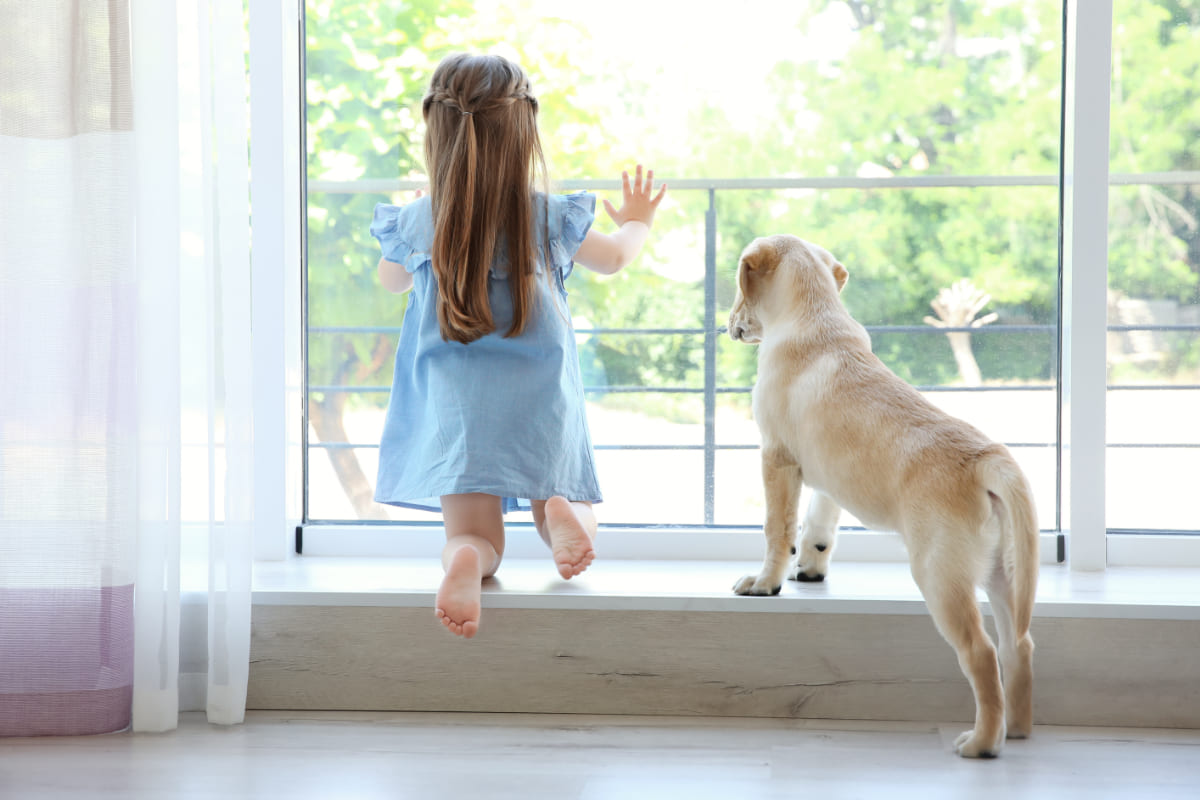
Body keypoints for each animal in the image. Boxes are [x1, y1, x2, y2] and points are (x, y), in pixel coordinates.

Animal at [724, 235, 1036, 762]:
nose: (728, 325)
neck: (817, 317)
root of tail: (987, 459)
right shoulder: (826, 477)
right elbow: (818, 525)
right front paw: (810, 569)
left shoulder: (776, 457)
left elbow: (777, 528)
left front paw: (766, 583)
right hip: (1001, 574)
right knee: (1019, 645)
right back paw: (1016, 728)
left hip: (939, 576)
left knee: (982, 652)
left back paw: (981, 743)